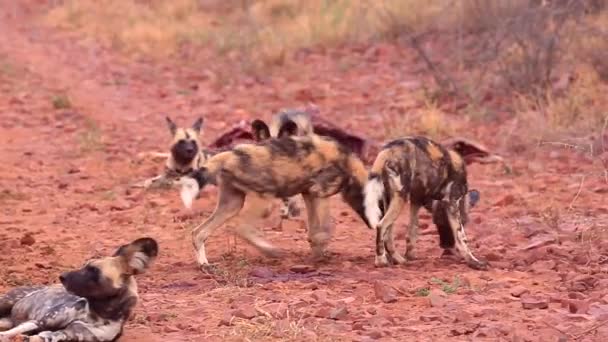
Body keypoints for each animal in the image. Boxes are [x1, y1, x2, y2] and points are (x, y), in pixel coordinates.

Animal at [0, 238, 157, 342]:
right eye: (84, 266)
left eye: (93, 270)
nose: (62, 276)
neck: (95, 315)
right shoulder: (41, 322)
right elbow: (14, 331)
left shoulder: (64, 334)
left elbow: (42, 336)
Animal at [178, 120, 372, 268]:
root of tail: (230, 154)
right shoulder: (319, 192)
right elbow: (324, 229)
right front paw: (319, 254)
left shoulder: (310, 194)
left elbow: (314, 229)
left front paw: (317, 252)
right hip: (265, 201)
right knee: (239, 226)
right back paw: (270, 251)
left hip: (231, 205)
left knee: (198, 233)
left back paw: (205, 264)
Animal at [360, 136, 490, 270]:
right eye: (439, 225)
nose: (445, 246)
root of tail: (389, 149)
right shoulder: (452, 201)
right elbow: (461, 237)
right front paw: (473, 261)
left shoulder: (416, 201)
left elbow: (412, 232)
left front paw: (410, 255)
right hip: (400, 198)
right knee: (381, 226)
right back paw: (381, 261)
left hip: (390, 198)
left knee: (388, 234)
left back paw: (398, 259)